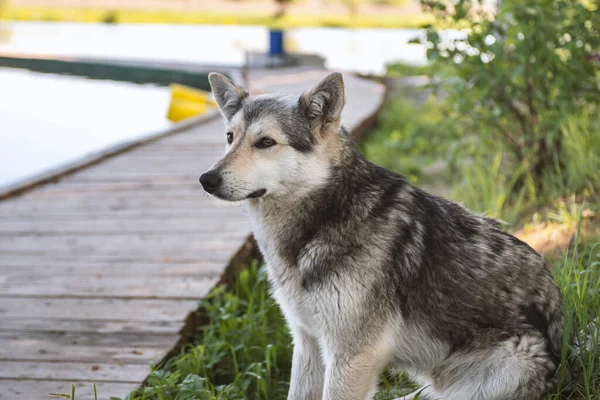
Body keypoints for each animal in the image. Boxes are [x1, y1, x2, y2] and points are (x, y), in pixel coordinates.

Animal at [200, 72, 564, 400]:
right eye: (230, 137)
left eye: (265, 142)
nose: (206, 179)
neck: (326, 217)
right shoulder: (307, 342)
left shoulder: (351, 356)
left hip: (514, 362)